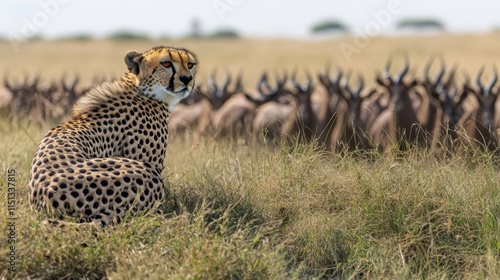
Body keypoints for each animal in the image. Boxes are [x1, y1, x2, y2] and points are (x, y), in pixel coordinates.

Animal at [28, 46, 197, 225]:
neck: (143, 90)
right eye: (166, 63)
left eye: (190, 64)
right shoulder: (151, 163)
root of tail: (47, 195)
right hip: (147, 173)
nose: (187, 79)